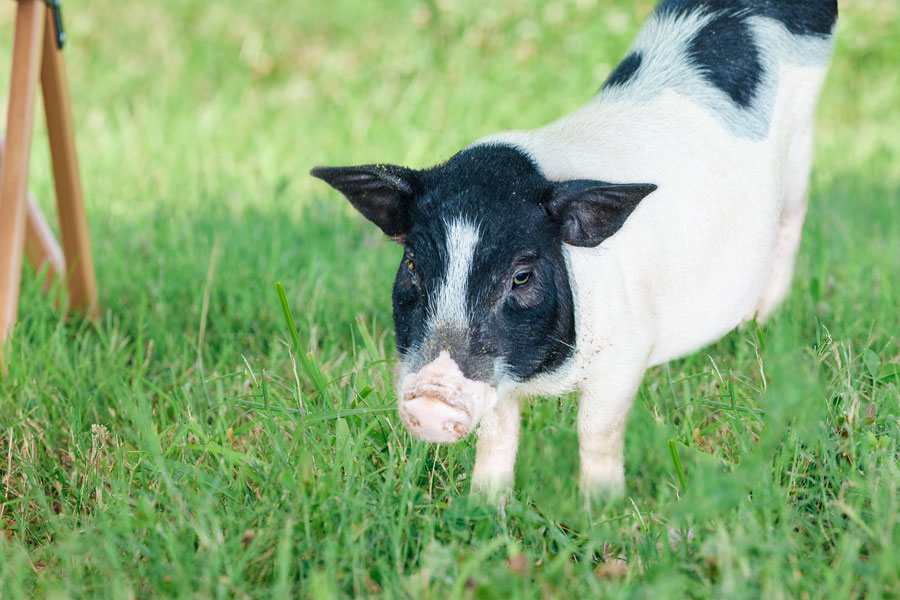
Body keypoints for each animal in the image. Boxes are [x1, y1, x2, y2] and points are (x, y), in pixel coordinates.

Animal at [312, 0, 840, 496]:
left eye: (522, 275)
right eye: (413, 266)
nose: (431, 399)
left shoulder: (626, 351)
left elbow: (596, 431)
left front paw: (601, 506)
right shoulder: (500, 376)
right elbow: (498, 435)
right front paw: (484, 505)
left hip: (802, 148)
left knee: (793, 219)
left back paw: (759, 323)